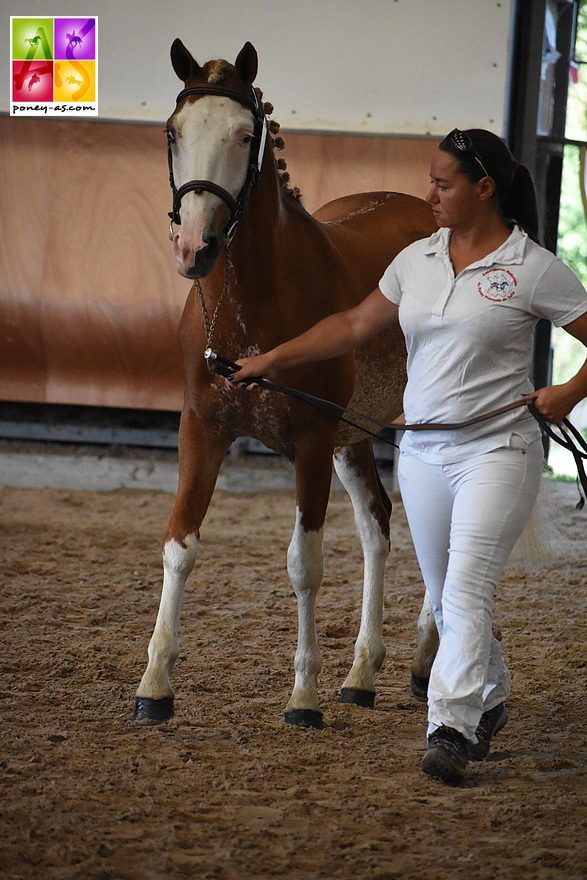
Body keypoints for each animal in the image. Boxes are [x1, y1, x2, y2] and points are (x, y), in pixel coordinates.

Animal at [132, 39, 436, 728]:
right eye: (173, 131)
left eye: (245, 135)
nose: (193, 247)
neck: (253, 302)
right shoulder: (203, 427)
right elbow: (179, 544)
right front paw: (155, 686)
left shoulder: (311, 441)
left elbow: (305, 564)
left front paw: (303, 697)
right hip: (356, 436)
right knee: (378, 526)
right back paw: (362, 673)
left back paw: (423, 661)